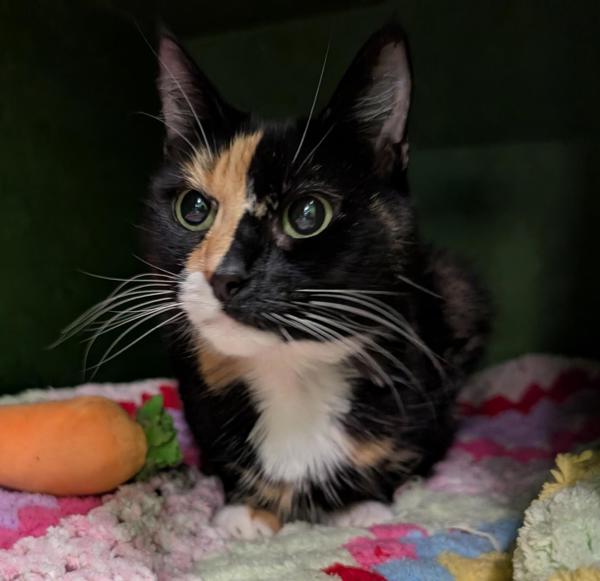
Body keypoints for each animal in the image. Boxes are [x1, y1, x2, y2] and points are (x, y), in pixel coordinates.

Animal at [138, 23, 490, 539]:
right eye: (194, 208)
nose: (225, 275)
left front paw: (360, 505)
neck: (291, 373)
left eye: (307, 214)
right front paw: (247, 510)